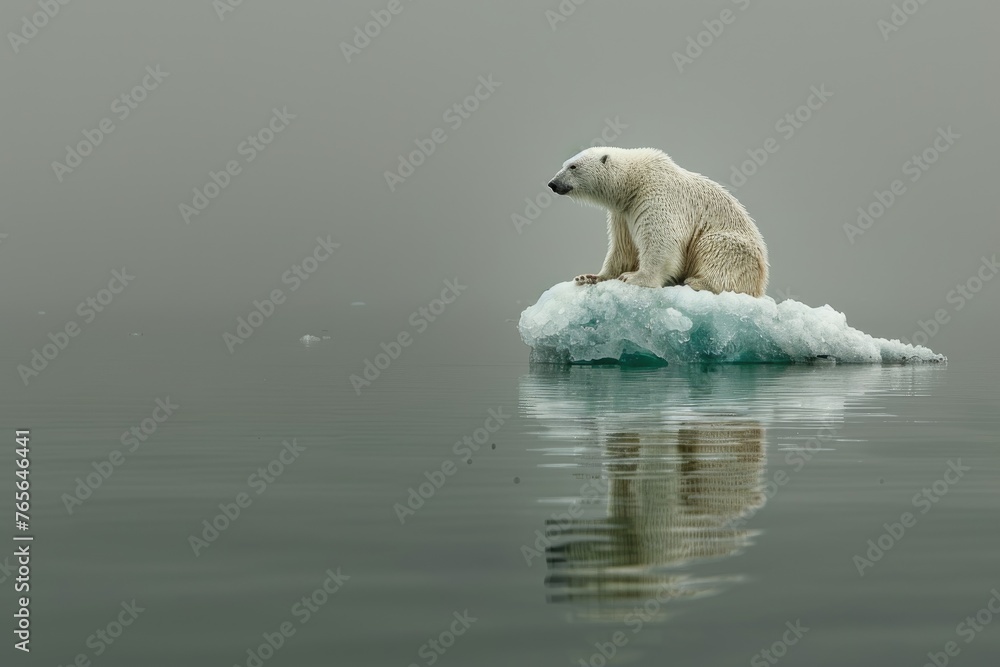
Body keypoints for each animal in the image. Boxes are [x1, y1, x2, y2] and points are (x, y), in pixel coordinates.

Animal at [547, 146, 769, 297]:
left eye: (573, 166)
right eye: (564, 164)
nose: (552, 183)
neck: (633, 180)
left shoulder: (655, 195)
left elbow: (661, 239)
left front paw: (633, 277)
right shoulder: (623, 213)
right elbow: (623, 248)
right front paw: (589, 277)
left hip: (733, 245)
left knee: (715, 249)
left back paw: (697, 282)